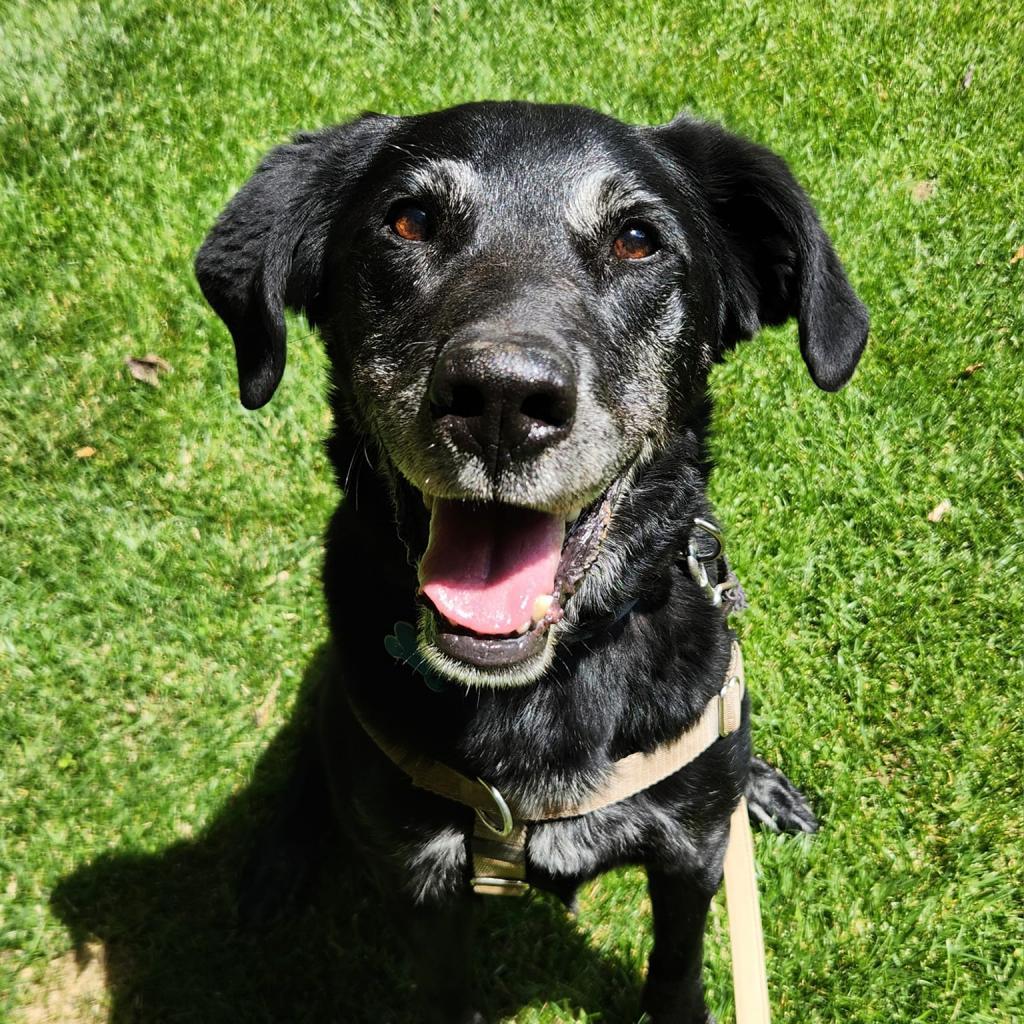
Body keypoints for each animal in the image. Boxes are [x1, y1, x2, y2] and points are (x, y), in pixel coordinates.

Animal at [193, 97, 864, 1024]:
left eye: (637, 239)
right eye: (409, 220)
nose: (503, 400)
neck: (543, 692)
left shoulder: (689, 856)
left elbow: (678, 971)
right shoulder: (423, 887)